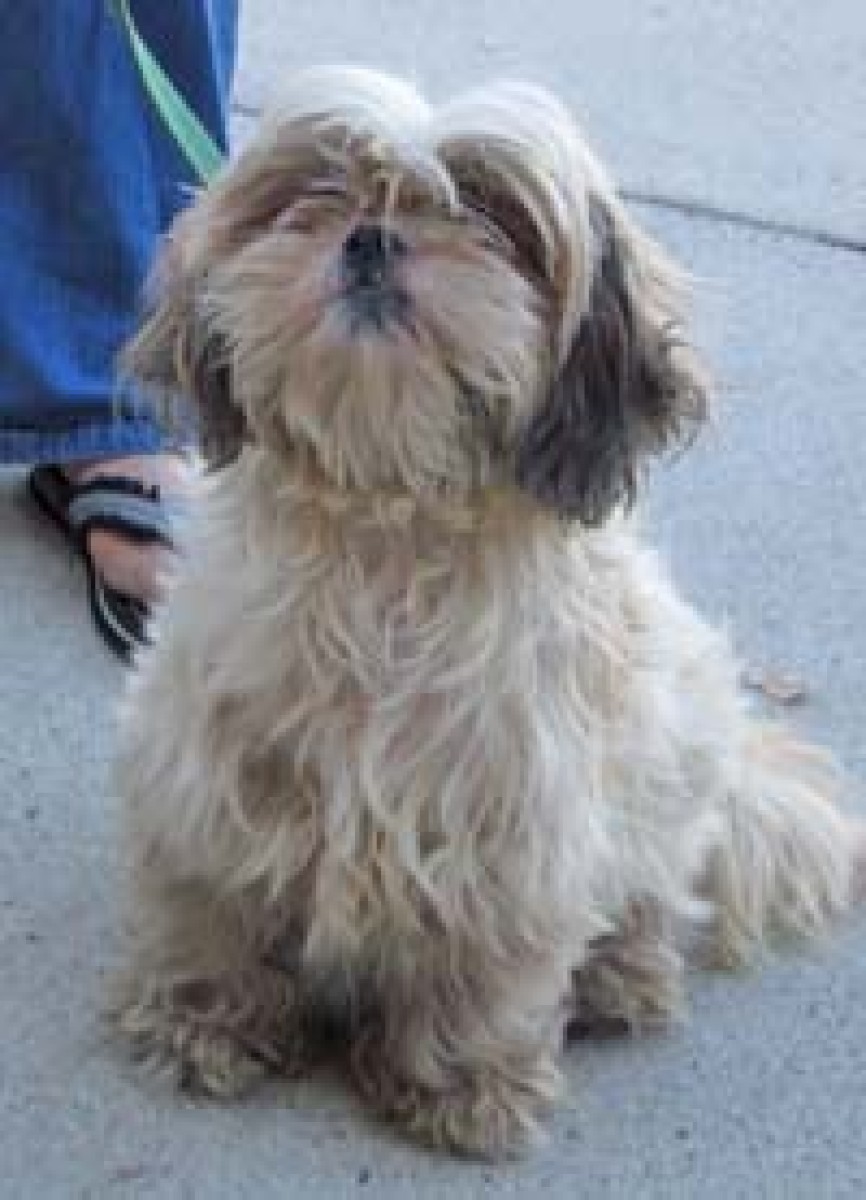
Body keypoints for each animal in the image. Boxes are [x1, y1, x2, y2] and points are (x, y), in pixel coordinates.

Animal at [112, 67, 864, 1158]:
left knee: (652, 896)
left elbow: (489, 968)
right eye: (319, 190)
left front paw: (461, 1082)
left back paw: (623, 975)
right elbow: (212, 906)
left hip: (674, 763)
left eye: (489, 214)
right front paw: (205, 1017)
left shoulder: (513, 828)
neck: (384, 538)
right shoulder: (209, 772)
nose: (371, 238)